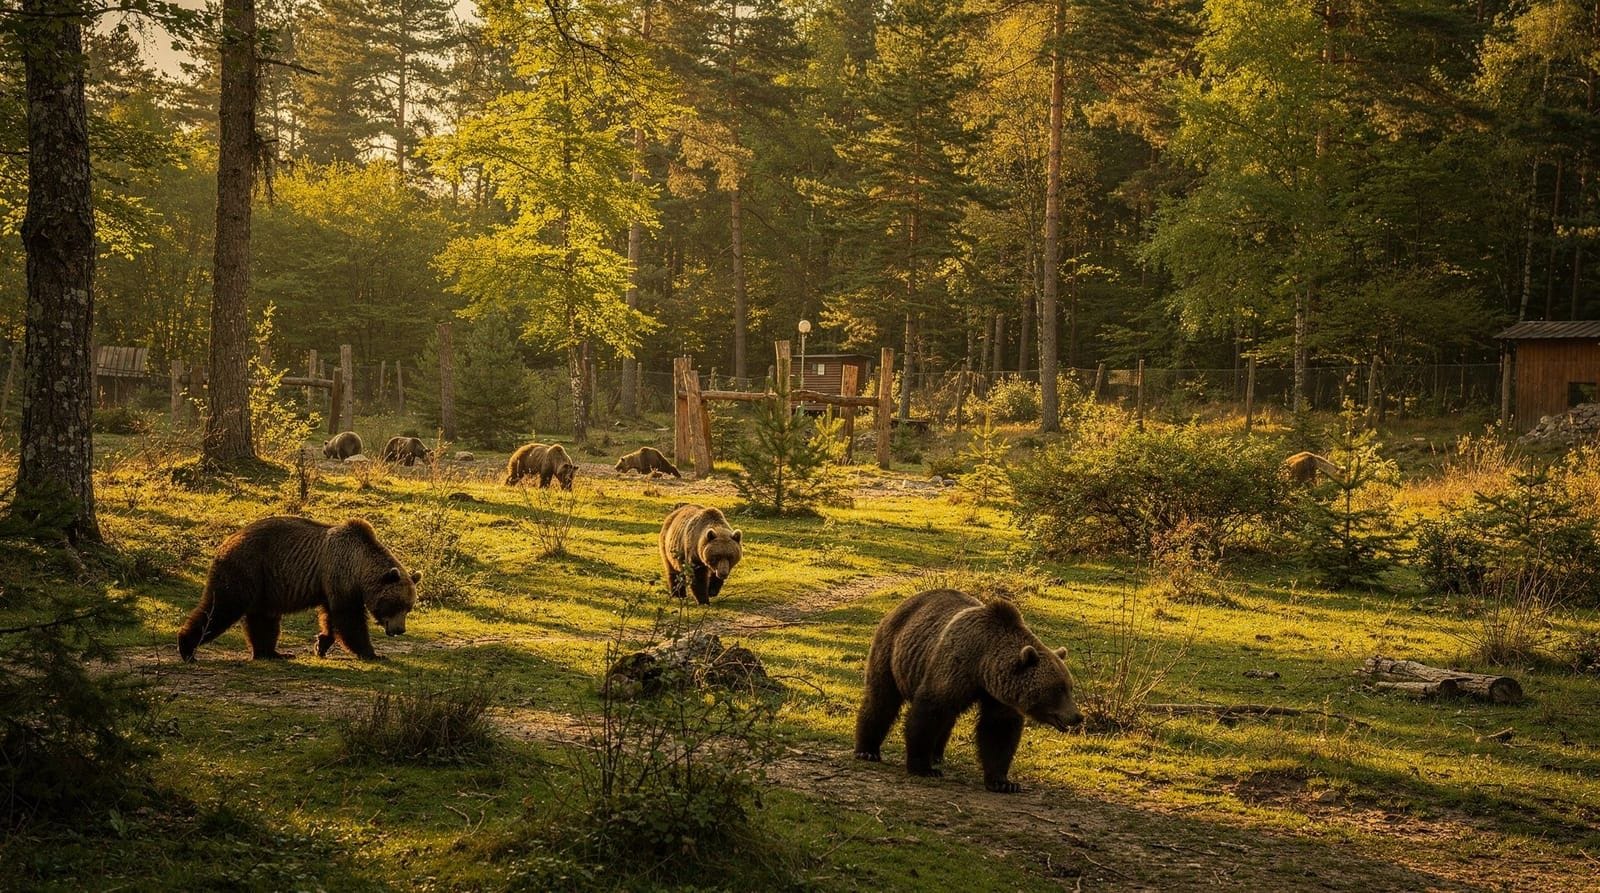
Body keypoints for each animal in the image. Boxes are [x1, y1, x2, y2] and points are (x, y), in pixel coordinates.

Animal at [177, 516, 420, 662]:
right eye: (397, 605)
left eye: (408, 607)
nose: (400, 629)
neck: (360, 566)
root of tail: (225, 542)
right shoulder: (341, 577)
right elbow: (349, 620)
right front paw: (372, 654)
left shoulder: (329, 584)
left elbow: (330, 617)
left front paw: (321, 643)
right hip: (245, 568)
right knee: (222, 608)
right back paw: (187, 648)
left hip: (265, 582)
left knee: (263, 618)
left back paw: (272, 653)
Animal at [854, 588, 1081, 793]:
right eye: (1057, 689)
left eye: (1069, 687)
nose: (1077, 716)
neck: (983, 666)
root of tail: (902, 604)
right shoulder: (954, 667)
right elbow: (928, 713)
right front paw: (922, 767)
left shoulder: (998, 696)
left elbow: (999, 730)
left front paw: (1003, 782)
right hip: (891, 650)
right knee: (882, 700)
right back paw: (867, 751)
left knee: (947, 718)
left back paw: (937, 754)